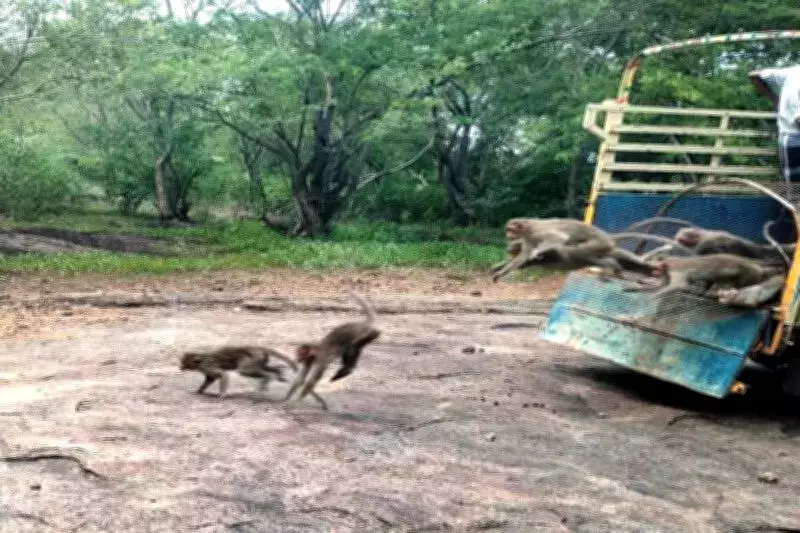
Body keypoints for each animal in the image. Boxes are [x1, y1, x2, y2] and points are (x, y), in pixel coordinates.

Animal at [489, 218, 656, 281]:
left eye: (511, 229)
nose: (508, 234)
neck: (527, 228)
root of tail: (607, 236)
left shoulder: (536, 232)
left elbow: (558, 238)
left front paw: (537, 252)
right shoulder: (528, 239)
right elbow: (522, 257)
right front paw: (500, 271)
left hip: (599, 243)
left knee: (578, 251)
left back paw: (610, 264)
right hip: (603, 245)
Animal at [624, 254, 787, 299]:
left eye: (656, 268)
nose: (654, 272)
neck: (668, 265)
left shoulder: (675, 271)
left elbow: (678, 285)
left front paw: (652, 295)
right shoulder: (667, 274)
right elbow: (662, 285)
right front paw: (638, 288)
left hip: (749, 272)